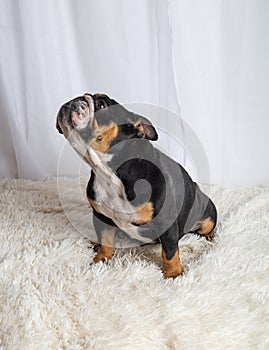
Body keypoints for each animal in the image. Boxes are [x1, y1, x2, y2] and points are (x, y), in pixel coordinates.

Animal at [56, 93, 216, 278]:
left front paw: (173, 274)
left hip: (208, 214)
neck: (108, 173)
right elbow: (106, 239)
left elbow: (169, 251)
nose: (74, 100)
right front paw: (101, 260)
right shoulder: (100, 216)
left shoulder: (166, 222)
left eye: (102, 104)